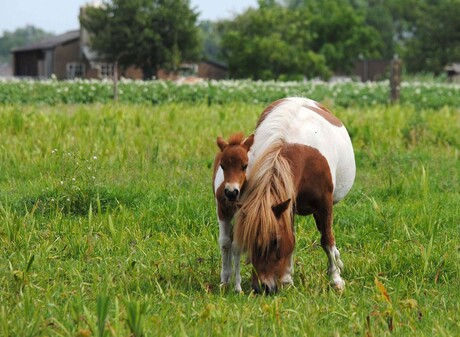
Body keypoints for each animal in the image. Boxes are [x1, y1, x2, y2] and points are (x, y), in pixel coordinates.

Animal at [235, 96, 354, 292]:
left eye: (275, 241)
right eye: (249, 241)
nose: (261, 288)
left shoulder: (324, 205)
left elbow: (327, 239)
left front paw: (336, 280)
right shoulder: (287, 204)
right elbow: (292, 237)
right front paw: (286, 279)